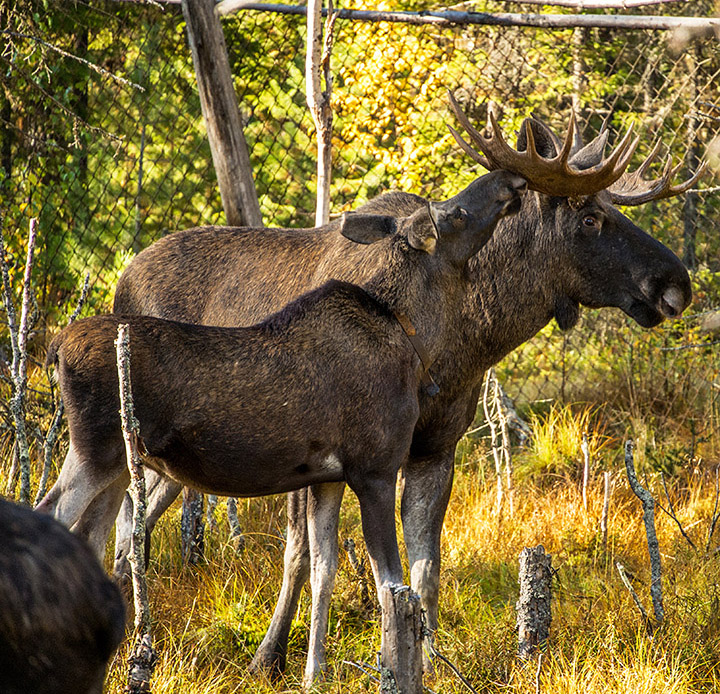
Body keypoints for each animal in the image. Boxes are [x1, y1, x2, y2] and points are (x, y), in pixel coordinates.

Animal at [36, 173, 524, 684]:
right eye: (456, 214)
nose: (509, 183)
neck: (412, 339)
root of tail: (55, 347)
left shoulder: (328, 477)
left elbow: (325, 567)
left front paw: (313, 674)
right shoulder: (374, 467)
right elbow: (388, 581)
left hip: (116, 464)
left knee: (93, 534)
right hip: (94, 450)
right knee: (53, 512)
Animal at [109, 100, 700, 688]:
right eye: (590, 218)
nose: (677, 283)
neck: (461, 344)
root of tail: (123, 277)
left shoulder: (435, 449)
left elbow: (423, 571)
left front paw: (427, 664)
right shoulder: (326, 453)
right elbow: (305, 558)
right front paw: (273, 657)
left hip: (170, 461)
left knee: (131, 524)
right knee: (125, 526)